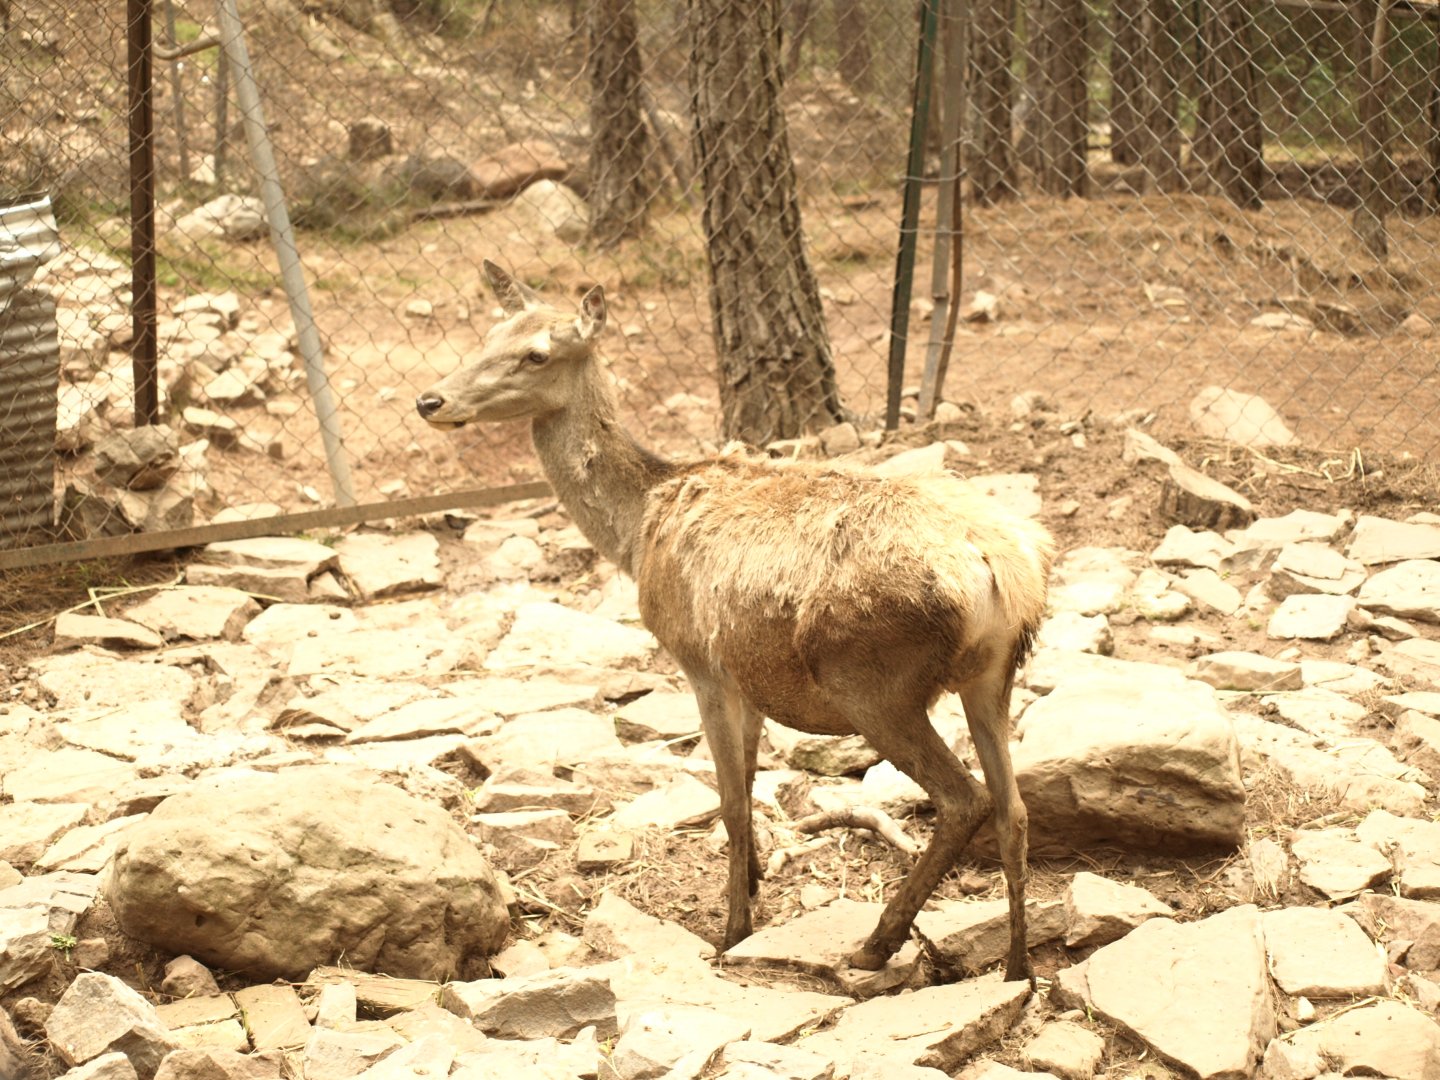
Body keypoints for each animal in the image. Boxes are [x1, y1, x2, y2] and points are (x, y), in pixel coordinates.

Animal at [417, 261, 1055, 985]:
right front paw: (752, 888)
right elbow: (748, 789)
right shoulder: (750, 677)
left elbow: (727, 799)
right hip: (992, 674)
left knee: (964, 799)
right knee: (1014, 810)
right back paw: (1017, 967)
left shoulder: (701, 661)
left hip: (873, 680)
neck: (636, 530)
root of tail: (1005, 570)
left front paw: (731, 931)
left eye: (536, 354)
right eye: (490, 335)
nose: (432, 401)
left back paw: (876, 942)